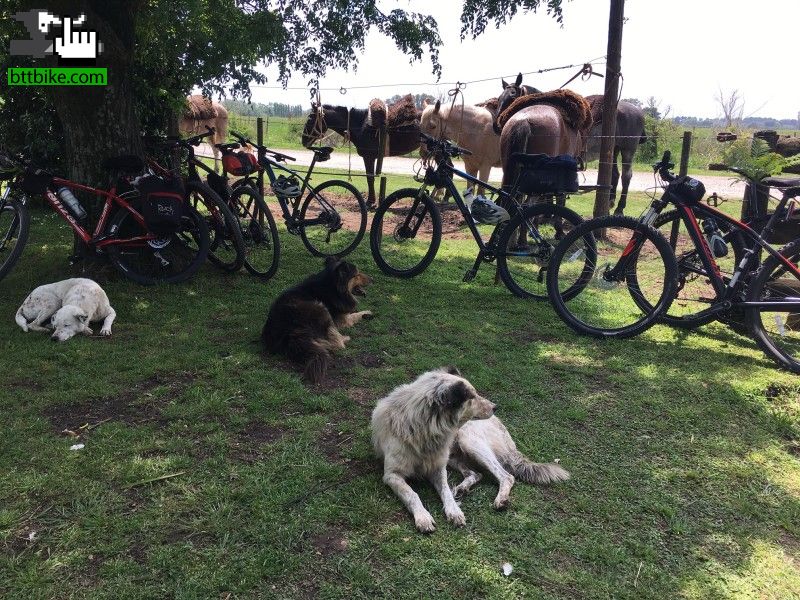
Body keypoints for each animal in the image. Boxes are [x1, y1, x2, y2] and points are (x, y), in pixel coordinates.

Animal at [372, 368, 572, 532]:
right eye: (471, 397)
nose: (496, 407)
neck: (424, 430)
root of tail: (501, 426)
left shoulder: (438, 468)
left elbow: (445, 491)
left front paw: (454, 511)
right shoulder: (392, 475)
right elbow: (412, 494)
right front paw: (423, 517)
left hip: (469, 442)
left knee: (506, 475)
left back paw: (499, 499)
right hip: (454, 456)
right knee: (477, 474)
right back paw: (462, 488)